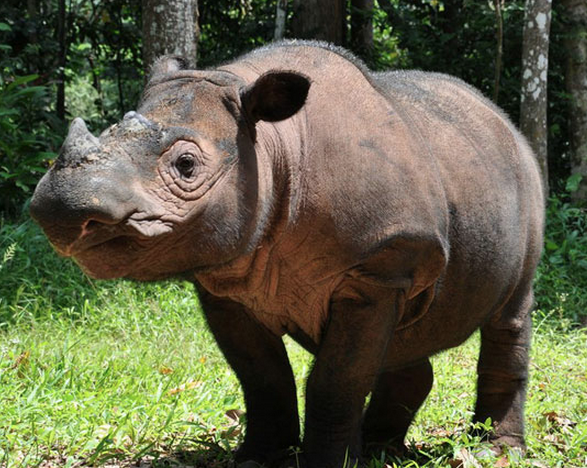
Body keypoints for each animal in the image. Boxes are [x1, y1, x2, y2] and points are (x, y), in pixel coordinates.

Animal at [31, 42, 548, 466]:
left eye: (186, 165)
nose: (63, 209)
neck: (273, 147)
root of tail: (505, 122)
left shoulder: (377, 268)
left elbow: (337, 378)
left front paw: (329, 464)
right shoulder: (226, 279)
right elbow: (262, 375)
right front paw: (261, 459)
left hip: (526, 182)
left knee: (509, 315)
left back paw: (496, 452)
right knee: (407, 338)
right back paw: (381, 450)